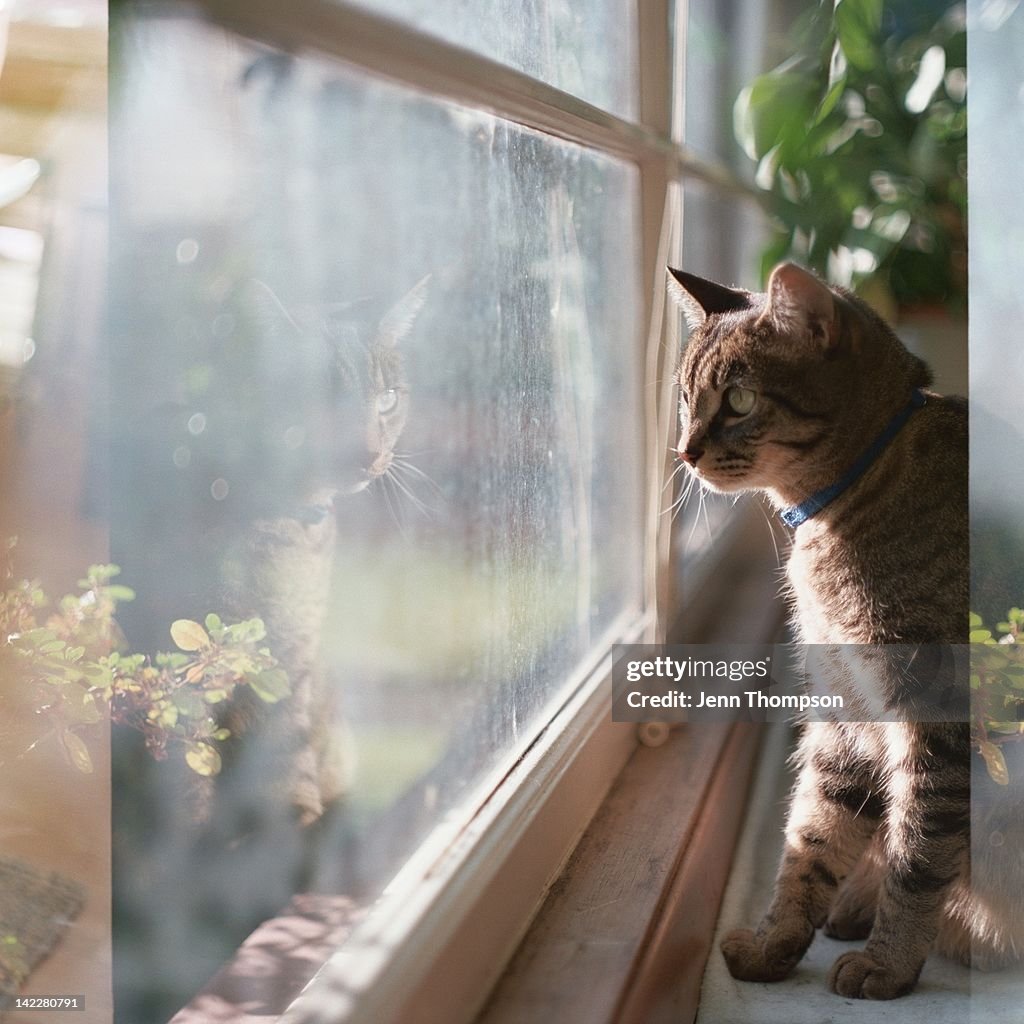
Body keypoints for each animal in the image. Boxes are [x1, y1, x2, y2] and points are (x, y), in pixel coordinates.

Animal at [663, 264, 1015, 999]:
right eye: (684, 398)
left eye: (738, 400)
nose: (683, 451)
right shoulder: (844, 711)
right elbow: (811, 837)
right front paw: (775, 943)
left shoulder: (935, 719)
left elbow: (918, 852)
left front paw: (889, 964)